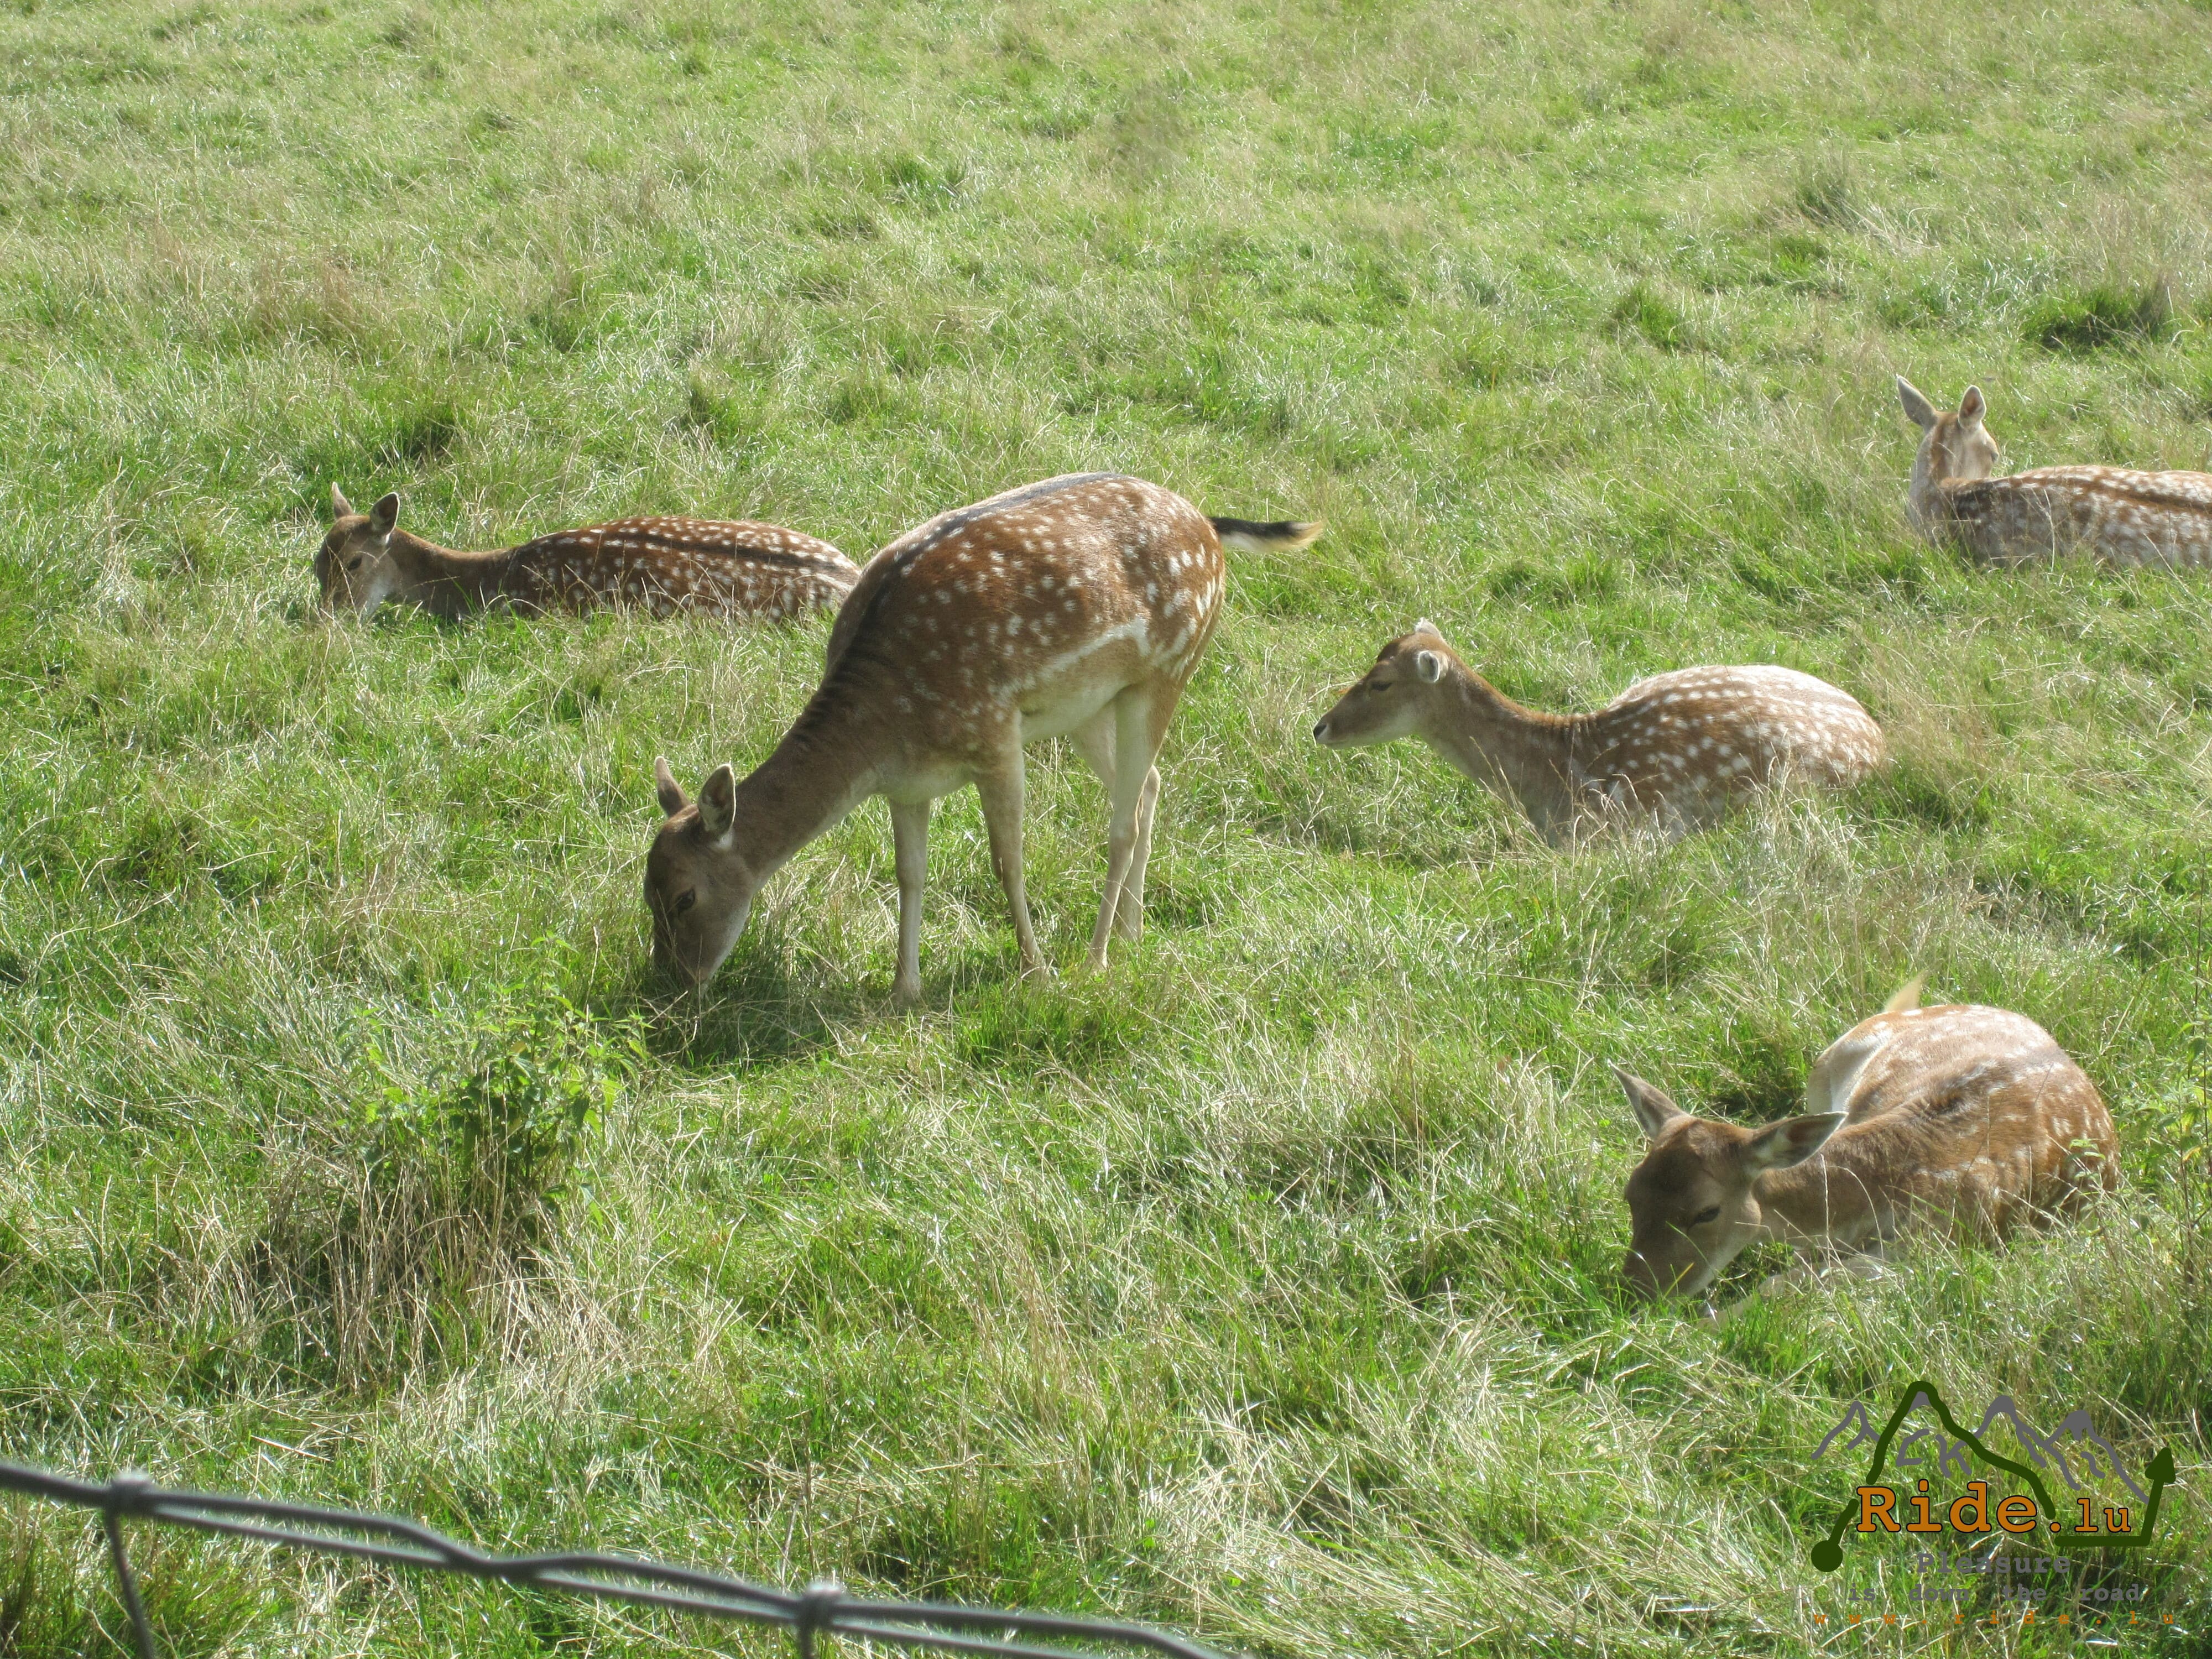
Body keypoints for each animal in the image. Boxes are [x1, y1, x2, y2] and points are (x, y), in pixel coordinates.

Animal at [644, 473, 1322, 999]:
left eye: (684, 898)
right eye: (645, 893)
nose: (675, 985)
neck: (885, 729)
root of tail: (1207, 524)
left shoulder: (994, 734)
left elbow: (1007, 863)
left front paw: (1036, 972)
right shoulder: (907, 787)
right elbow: (909, 873)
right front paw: (903, 989)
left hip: (1169, 670)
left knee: (1122, 822)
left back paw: (1097, 956)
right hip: (1090, 706)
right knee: (1150, 786)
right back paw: (1132, 932)